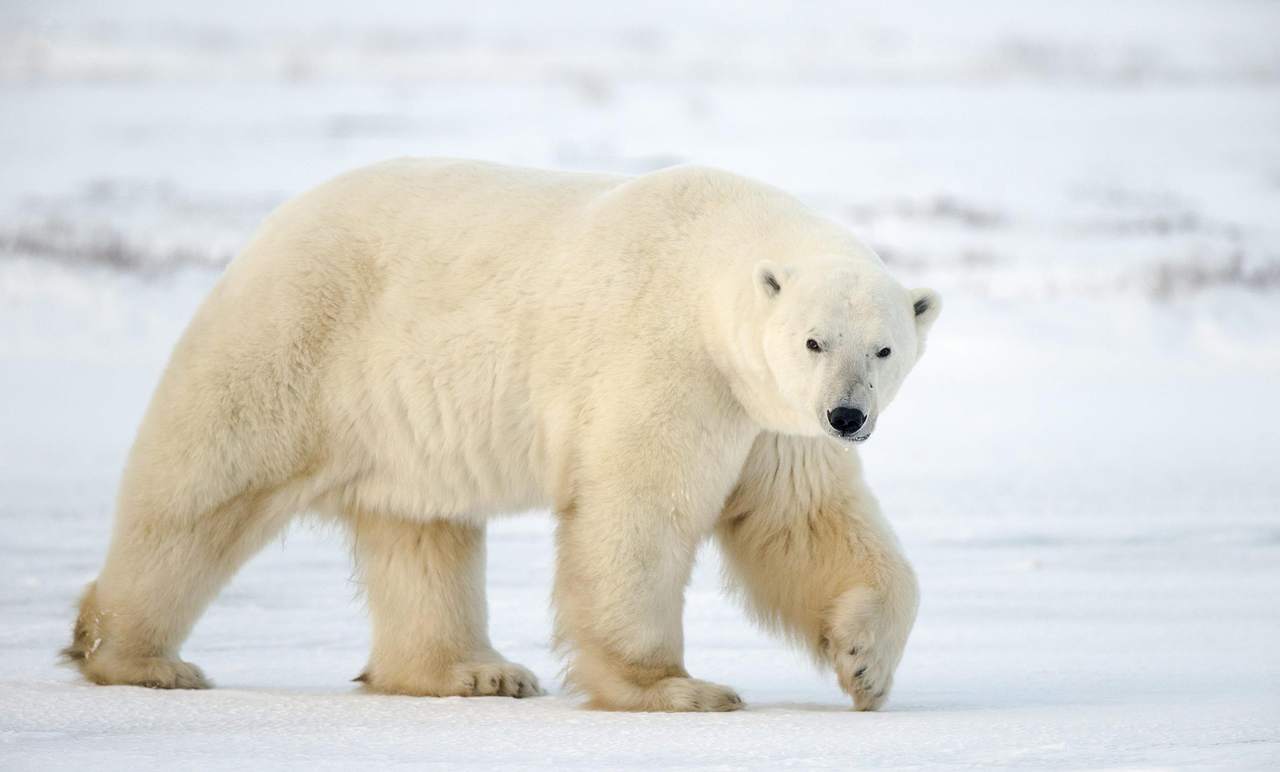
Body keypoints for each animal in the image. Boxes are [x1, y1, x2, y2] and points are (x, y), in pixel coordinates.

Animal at [62, 158, 942, 711]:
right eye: (813, 341)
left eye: (884, 348)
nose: (848, 416)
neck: (707, 266)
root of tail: (268, 231)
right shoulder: (669, 364)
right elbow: (638, 514)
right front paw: (675, 687)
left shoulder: (766, 416)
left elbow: (802, 521)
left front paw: (866, 665)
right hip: (296, 340)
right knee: (200, 490)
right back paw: (138, 656)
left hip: (398, 421)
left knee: (422, 531)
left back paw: (472, 672)